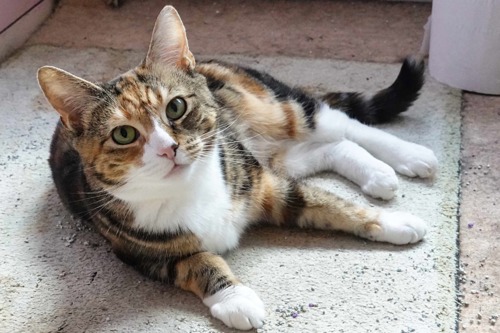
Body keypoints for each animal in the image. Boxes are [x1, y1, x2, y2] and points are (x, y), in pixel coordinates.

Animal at [37, 5, 438, 330]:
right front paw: (235, 299)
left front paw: (393, 222)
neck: (190, 189)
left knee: (343, 125)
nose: (169, 149)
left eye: (176, 107)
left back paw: (411, 156)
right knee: (335, 147)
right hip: (273, 154)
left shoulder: (262, 183)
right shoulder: (140, 253)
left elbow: (328, 203)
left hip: (274, 109)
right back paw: (378, 175)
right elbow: (197, 262)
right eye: (123, 134)